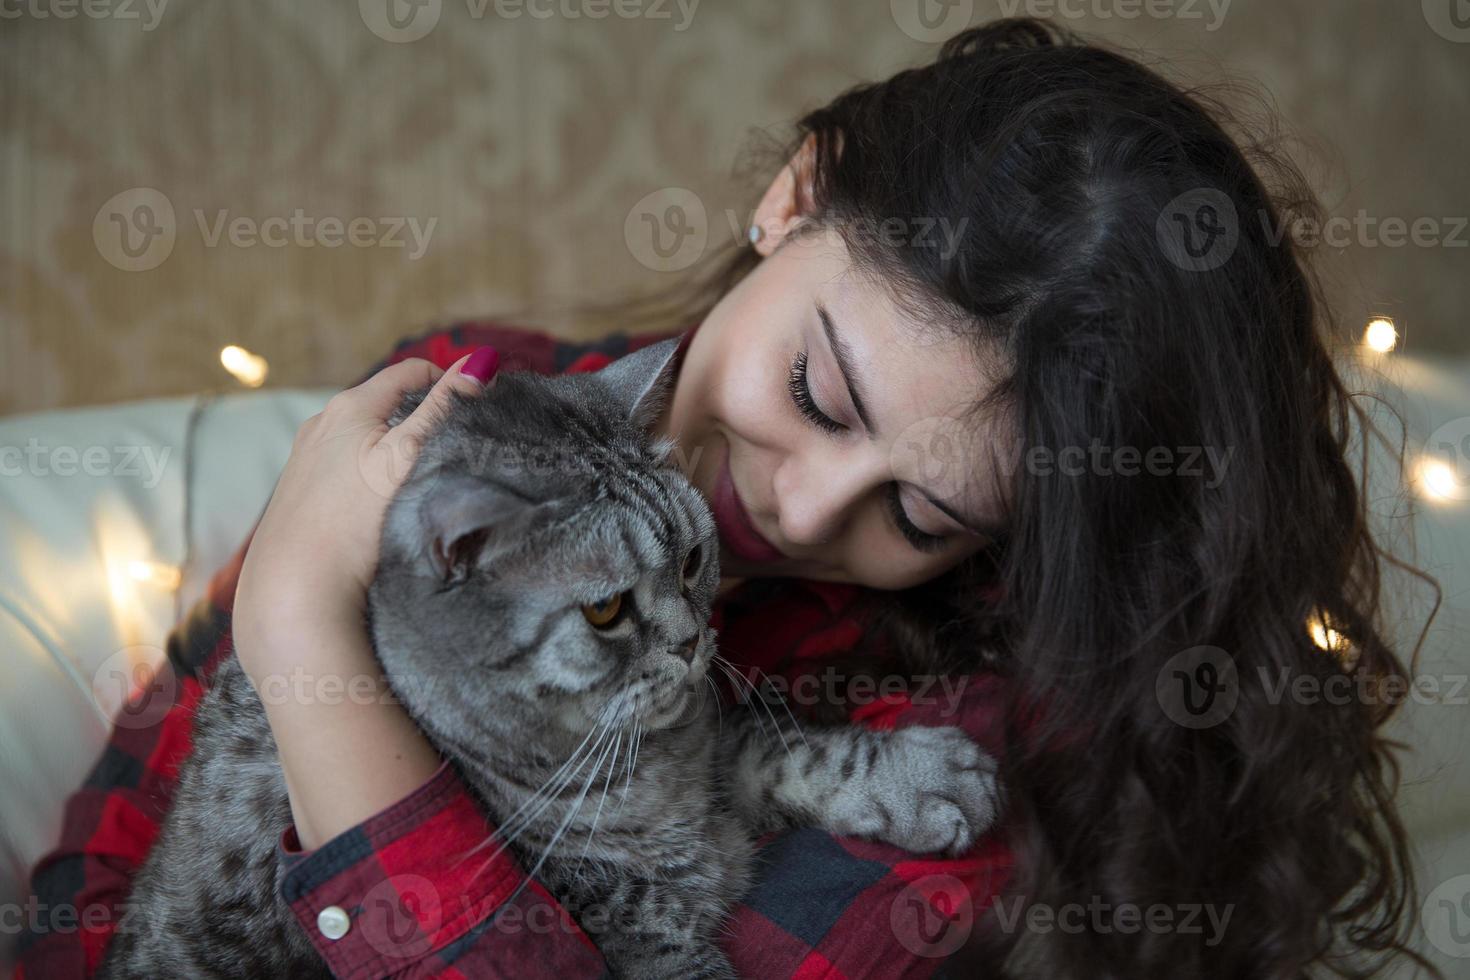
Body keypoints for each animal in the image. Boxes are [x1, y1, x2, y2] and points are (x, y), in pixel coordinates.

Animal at [100, 340, 999, 975]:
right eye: (605, 611)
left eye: (691, 561)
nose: (690, 639)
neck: (644, 776)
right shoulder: (630, 929)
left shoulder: (710, 753)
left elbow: (799, 752)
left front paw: (922, 779)